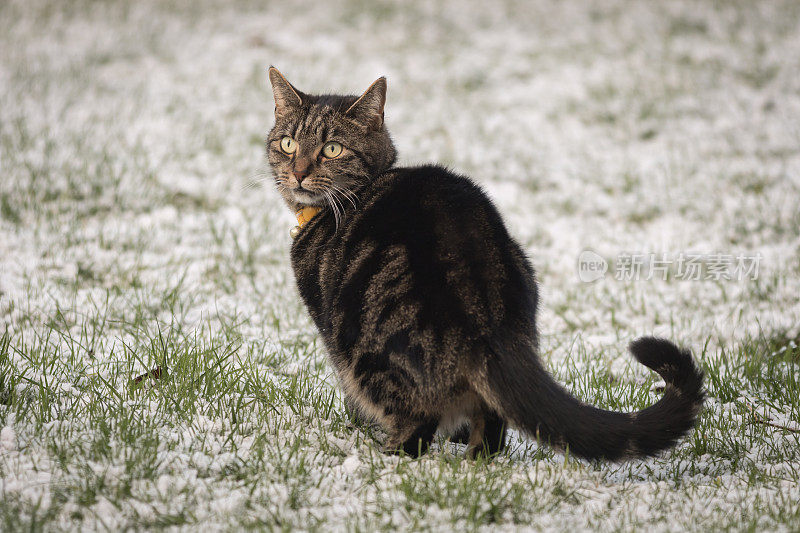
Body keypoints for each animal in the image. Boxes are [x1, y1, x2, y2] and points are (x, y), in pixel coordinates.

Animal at [266, 66, 704, 458]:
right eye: (287, 143)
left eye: (332, 149)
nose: (298, 172)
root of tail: (488, 323)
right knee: (491, 430)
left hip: (365, 348)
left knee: (415, 427)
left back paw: (386, 455)